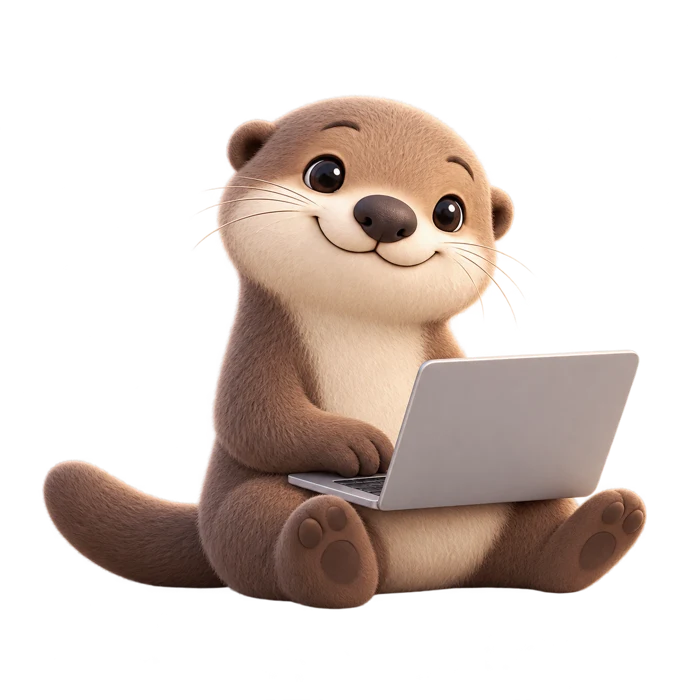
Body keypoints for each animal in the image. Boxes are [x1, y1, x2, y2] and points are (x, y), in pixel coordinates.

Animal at [42, 95, 646, 608]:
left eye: (450, 210)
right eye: (326, 172)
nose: (388, 213)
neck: (362, 324)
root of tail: (425, 575)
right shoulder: (258, 345)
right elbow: (255, 418)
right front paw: (362, 445)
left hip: (521, 498)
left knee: (539, 532)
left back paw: (604, 524)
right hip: (244, 515)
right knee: (273, 527)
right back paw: (331, 550)